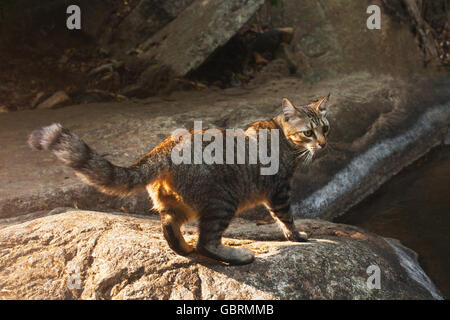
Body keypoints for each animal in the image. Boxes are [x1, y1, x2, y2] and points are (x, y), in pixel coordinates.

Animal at [29, 95, 330, 264]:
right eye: (308, 133)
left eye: (325, 128)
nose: (323, 144)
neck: (281, 135)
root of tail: (163, 146)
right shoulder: (279, 191)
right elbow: (286, 218)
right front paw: (297, 236)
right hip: (222, 201)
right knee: (206, 243)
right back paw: (236, 256)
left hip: (178, 203)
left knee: (169, 226)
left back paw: (183, 247)